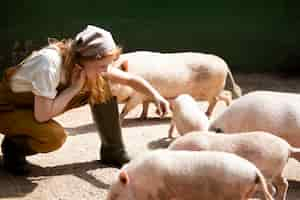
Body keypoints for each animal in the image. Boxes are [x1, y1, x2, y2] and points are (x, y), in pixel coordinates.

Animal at [110, 50, 241, 121]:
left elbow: (126, 109)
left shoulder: (137, 96)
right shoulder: (144, 97)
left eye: (114, 80)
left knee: (221, 97)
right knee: (223, 96)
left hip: (212, 89)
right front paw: (141, 118)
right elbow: (145, 105)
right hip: (214, 90)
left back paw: (211, 114)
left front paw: (121, 119)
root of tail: (224, 63)